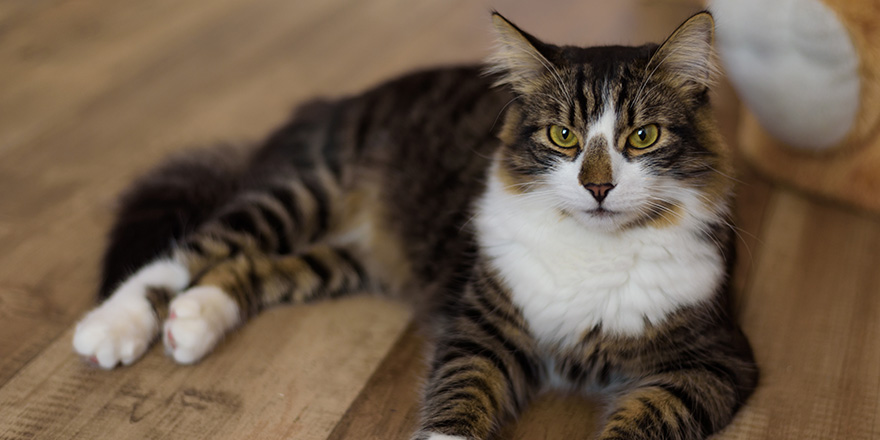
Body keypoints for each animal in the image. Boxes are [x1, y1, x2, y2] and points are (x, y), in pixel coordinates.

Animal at [74, 10, 756, 440]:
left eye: (642, 137)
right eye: (563, 136)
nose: (597, 187)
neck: (593, 252)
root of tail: (338, 100)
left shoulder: (712, 363)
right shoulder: (481, 327)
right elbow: (454, 405)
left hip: (350, 257)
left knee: (252, 268)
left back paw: (195, 318)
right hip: (305, 193)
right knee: (191, 250)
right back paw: (112, 327)